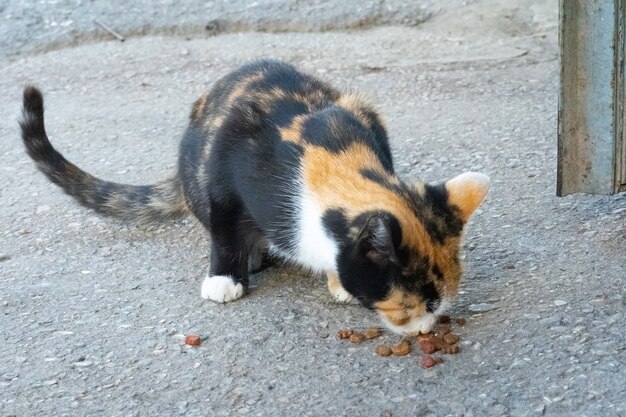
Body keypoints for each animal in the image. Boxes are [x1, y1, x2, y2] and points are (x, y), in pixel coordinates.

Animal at [18, 58, 488, 334]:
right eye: (412, 306)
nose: (427, 330)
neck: (330, 157)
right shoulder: (225, 163)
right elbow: (225, 228)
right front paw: (225, 277)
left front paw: (337, 282)